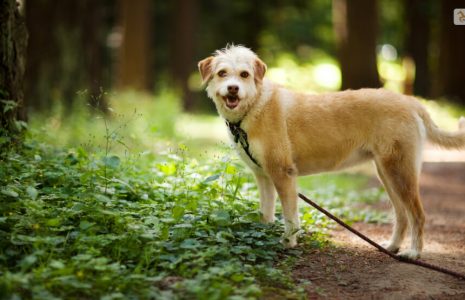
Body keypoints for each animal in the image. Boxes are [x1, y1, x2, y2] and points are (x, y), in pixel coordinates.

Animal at [198, 44, 464, 258]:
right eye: (222, 73)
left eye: (244, 74)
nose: (233, 89)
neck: (255, 106)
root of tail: (410, 101)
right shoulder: (263, 176)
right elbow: (266, 213)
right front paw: (265, 235)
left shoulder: (283, 174)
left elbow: (290, 216)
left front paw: (289, 241)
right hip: (388, 174)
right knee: (401, 215)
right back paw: (392, 247)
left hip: (401, 172)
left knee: (417, 215)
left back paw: (414, 253)